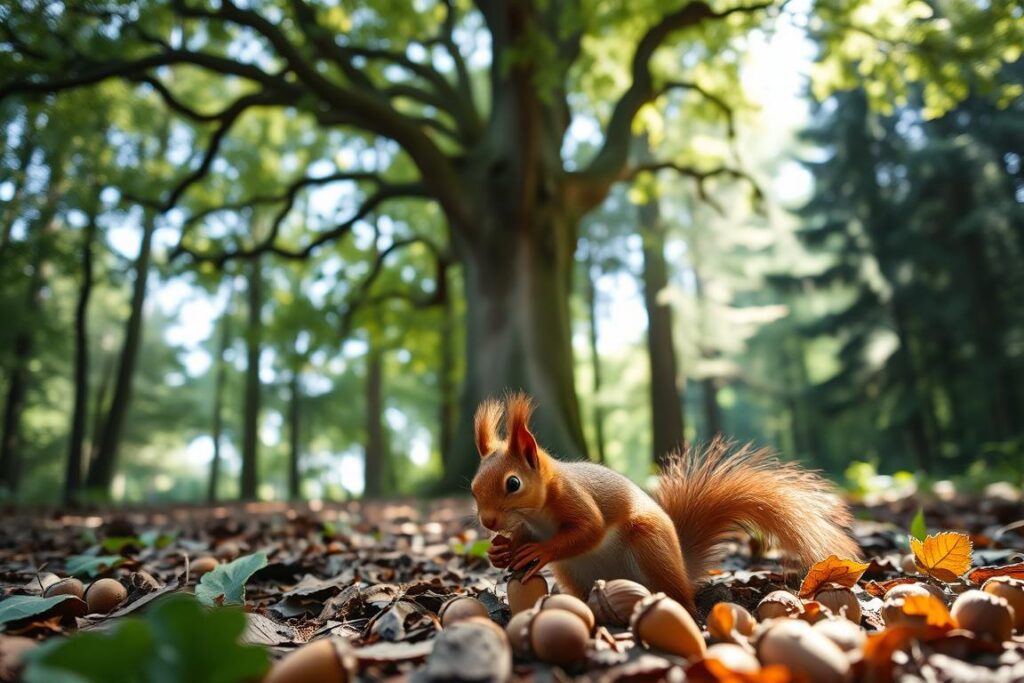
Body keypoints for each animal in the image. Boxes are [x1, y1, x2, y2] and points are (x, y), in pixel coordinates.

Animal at [470, 393, 859, 614]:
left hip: (649, 545)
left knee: (679, 597)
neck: (539, 513)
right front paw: (501, 551)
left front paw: (540, 551)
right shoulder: (529, 525)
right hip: (574, 572)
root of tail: (682, 570)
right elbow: (522, 539)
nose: (488, 523)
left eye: (513, 483)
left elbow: (589, 529)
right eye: (473, 487)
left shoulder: (575, 498)